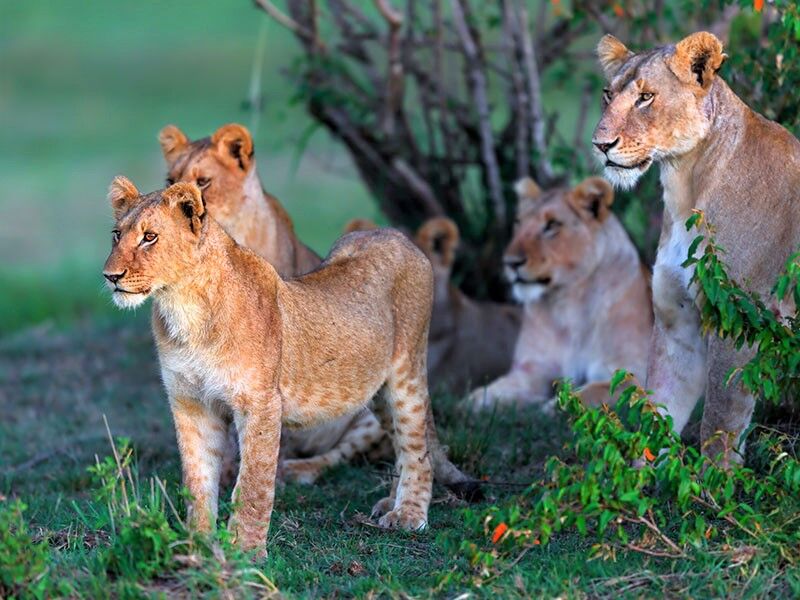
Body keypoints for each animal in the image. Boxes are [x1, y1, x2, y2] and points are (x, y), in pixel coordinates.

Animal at [104, 177, 438, 552]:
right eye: (116, 234)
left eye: (150, 237)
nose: (110, 276)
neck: (183, 308)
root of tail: (396, 236)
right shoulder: (190, 402)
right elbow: (197, 479)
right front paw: (197, 544)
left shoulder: (261, 402)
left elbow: (254, 482)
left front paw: (245, 551)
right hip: (376, 391)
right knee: (400, 439)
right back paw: (391, 501)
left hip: (406, 373)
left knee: (417, 446)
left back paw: (408, 514)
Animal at [468, 175, 648, 412]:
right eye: (518, 223)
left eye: (552, 225)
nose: (511, 263)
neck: (568, 304)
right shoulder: (533, 368)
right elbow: (495, 389)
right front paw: (472, 402)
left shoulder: (634, 375)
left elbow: (589, 393)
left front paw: (550, 408)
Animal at [592, 31, 800, 464]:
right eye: (608, 94)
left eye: (646, 97)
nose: (600, 144)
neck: (684, 185)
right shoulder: (677, 321)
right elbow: (657, 411)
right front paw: (639, 477)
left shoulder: (742, 319)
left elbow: (719, 422)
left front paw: (716, 481)